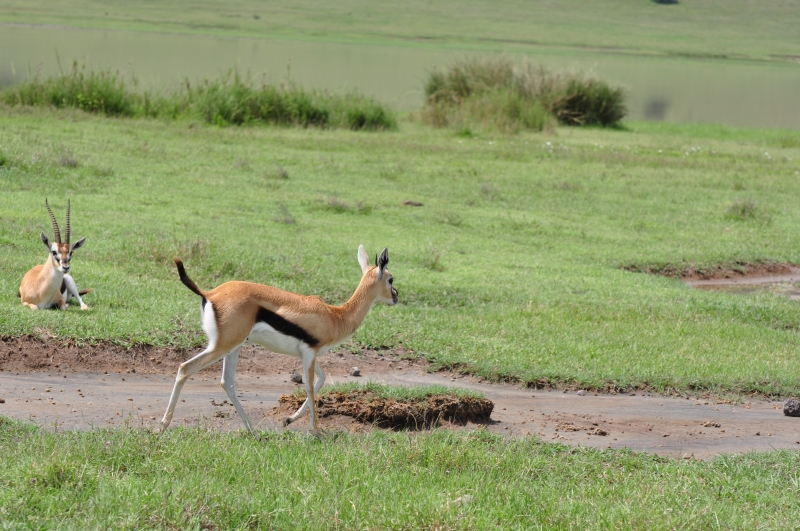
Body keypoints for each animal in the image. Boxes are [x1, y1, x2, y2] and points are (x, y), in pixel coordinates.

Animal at [160, 245, 398, 437]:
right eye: (391, 279)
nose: (396, 297)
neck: (335, 316)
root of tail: (211, 293)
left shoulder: (309, 355)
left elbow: (321, 380)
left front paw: (289, 419)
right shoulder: (309, 353)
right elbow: (310, 387)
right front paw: (317, 432)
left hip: (233, 347)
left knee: (227, 382)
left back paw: (253, 432)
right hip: (222, 346)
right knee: (185, 368)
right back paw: (162, 427)